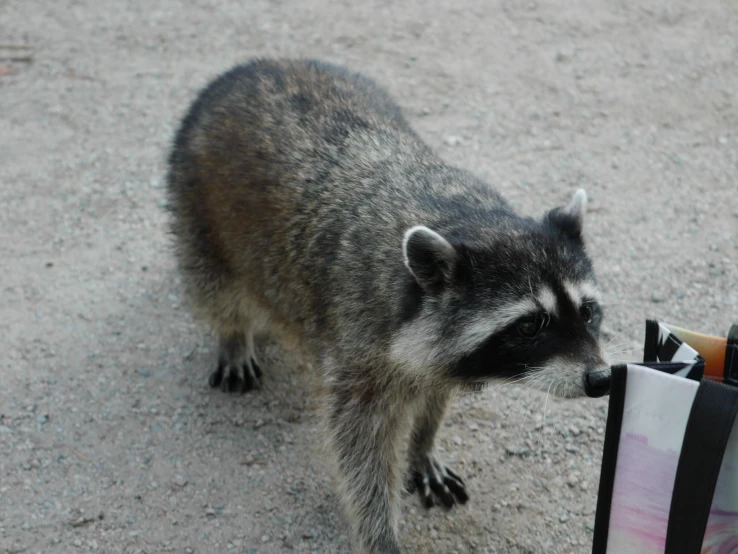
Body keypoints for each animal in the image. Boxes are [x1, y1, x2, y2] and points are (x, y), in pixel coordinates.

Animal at [167, 59, 608, 552]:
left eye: (587, 312)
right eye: (530, 326)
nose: (601, 378)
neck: (465, 217)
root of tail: (253, 66)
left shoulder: (434, 351)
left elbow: (433, 395)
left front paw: (422, 444)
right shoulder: (359, 343)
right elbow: (361, 448)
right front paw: (379, 530)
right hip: (195, 207)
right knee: (214, 289)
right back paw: (232, 336)